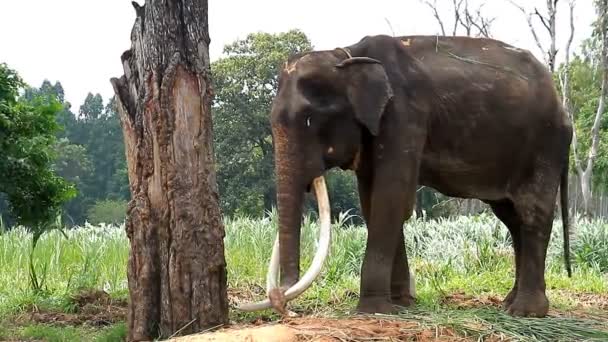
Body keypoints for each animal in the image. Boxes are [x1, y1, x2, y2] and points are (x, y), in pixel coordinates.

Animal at [236, 34, 568, 318]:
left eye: (309, 120)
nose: (286, 308)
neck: (347, 54)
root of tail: (561, 105)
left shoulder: (404, 116)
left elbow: (391, 197)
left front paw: (373, 310)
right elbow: (372, 203)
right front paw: (401, 304)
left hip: (544, 145)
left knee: (532, 213)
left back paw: (526, 312)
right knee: (512, 218)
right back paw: (510, 304)